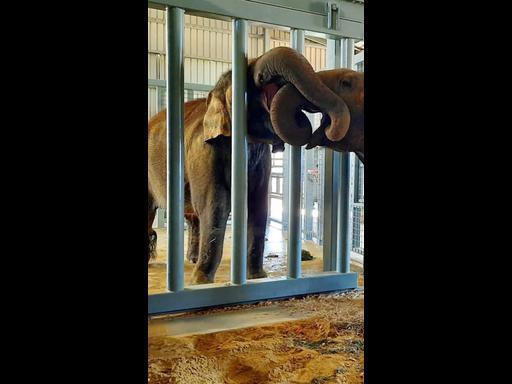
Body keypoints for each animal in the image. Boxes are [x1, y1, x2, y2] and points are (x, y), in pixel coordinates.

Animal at [148, 45, 364, 284]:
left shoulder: (262, 158)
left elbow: (259, 205)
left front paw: (258, 278)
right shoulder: (203, 152)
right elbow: (214, 205)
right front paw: (201, 282)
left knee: (191, 216)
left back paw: (192, 260)